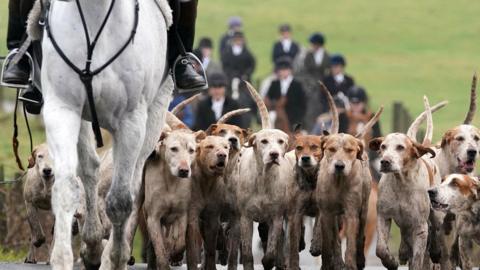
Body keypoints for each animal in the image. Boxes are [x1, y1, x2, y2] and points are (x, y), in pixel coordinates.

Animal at [41, 0, 172, 268]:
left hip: (154, 116)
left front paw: (116, 257)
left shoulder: (131, 121)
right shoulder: (62, 109)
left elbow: (120, 200)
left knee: (133, 183)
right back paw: (92, 244)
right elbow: (66, 188)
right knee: (89, 170)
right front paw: (62, 258)